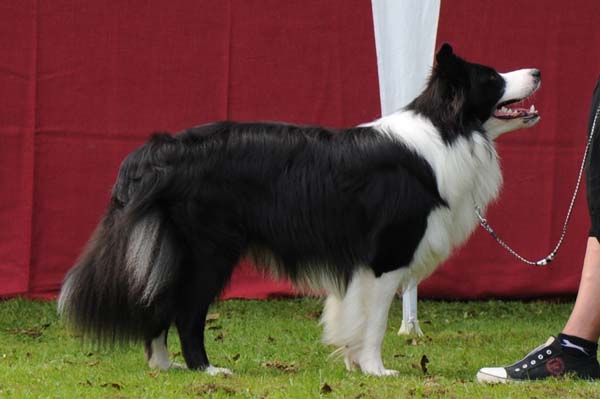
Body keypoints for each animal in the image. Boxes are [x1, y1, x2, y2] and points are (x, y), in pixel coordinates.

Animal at [58, 45, 540, 376]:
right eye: (492, 78)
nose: (536, 71)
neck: (447, 130)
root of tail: (159, 149)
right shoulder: (387, 255)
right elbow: (375, 321)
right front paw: (378, 370)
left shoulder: (361, 265)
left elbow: (352, 315)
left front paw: (353, 364)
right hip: (209, 248)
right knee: (186, 310)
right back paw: (206, 369)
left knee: (159, 302)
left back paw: (165, 366)